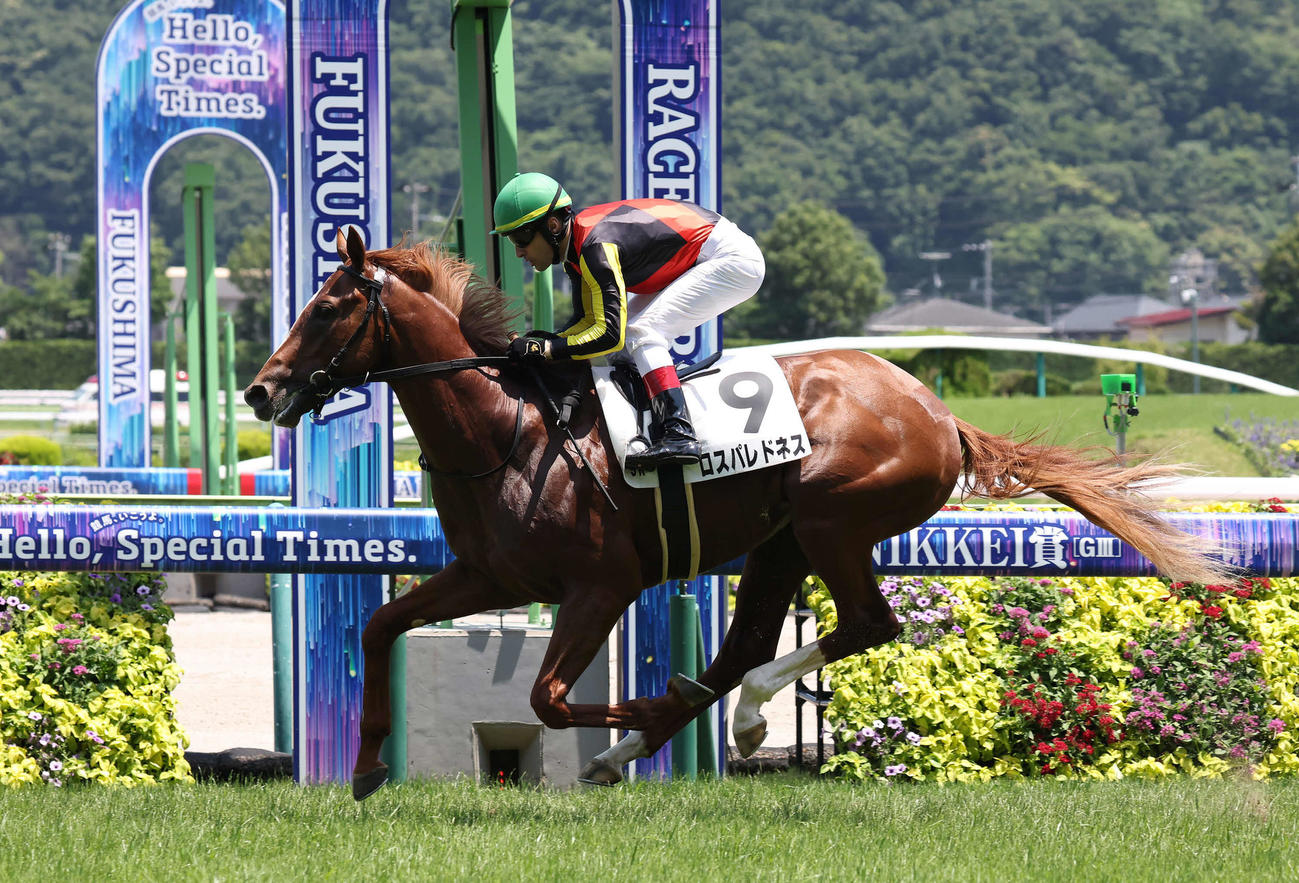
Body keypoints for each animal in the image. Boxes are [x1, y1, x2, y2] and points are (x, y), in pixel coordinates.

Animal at [245, 227, 1230, 800]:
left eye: (328, 306)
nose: (260, 390)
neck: (508, 430)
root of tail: (936, 408)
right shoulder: (486, 572)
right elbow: (380, 626)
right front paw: (367, 764)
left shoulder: (601, 582)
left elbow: (547, 697)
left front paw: (645, 708)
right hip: (780, 540)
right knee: (746, 643)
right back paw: (666, 734)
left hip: (834, 521)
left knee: (858, 626)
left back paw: (726, 717)